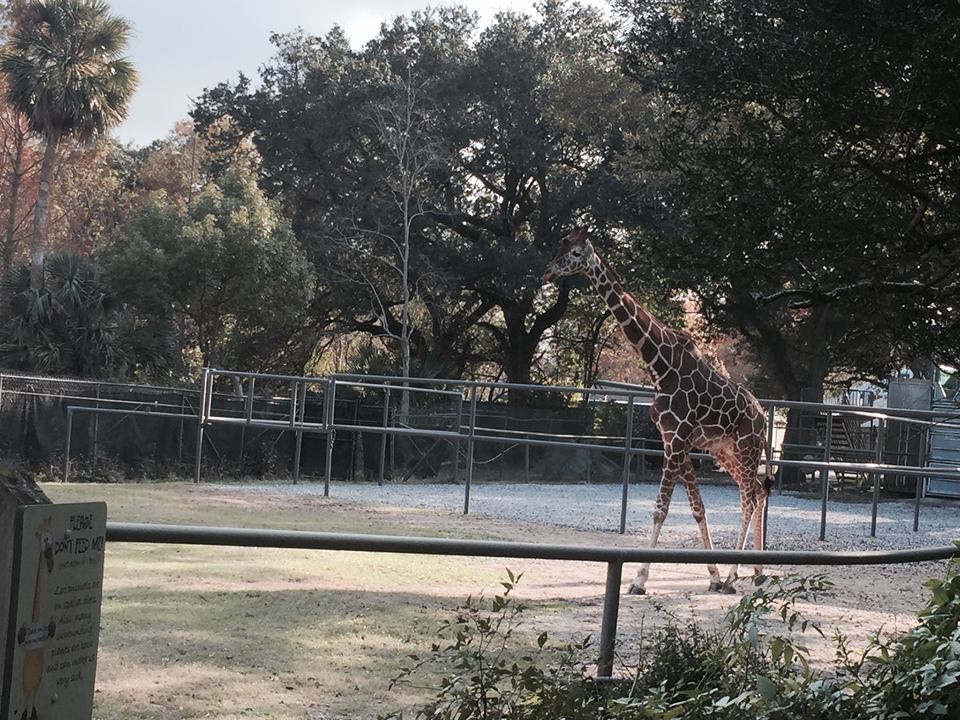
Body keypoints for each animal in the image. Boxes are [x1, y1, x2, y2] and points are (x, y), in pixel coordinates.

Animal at [543, 227, 770, 594]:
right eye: (559, 245)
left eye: (575, 253)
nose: (547, 272)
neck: (659, 367)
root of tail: (763, 415)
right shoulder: (673, 440)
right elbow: (697, 508)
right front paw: (712, 576)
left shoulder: (676, 440)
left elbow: (660, 510)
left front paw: (639, 580)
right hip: (724, 452)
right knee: (759, 492)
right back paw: (758, 572)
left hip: (746, 447)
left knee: (750, 496)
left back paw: (736, 576)